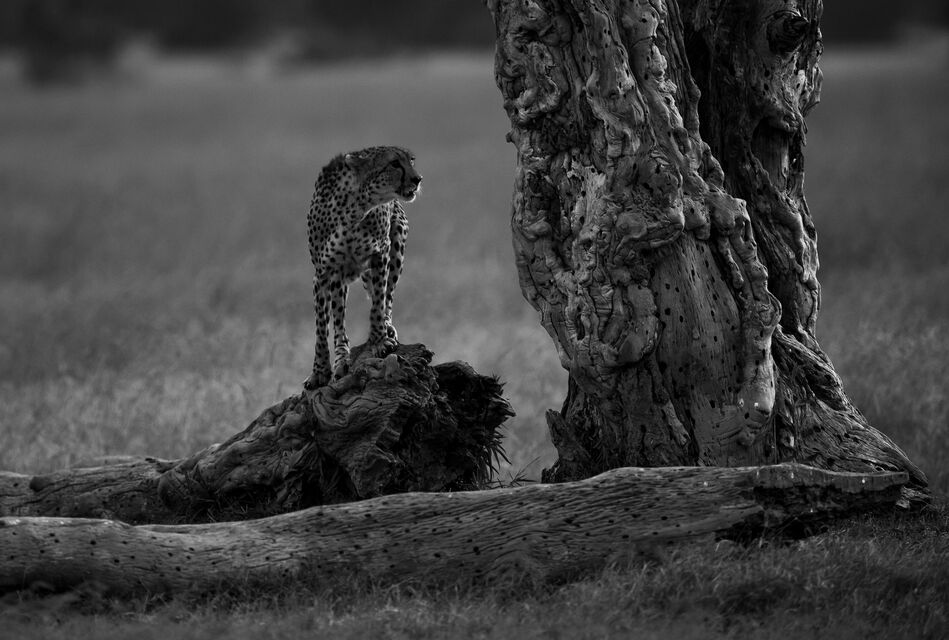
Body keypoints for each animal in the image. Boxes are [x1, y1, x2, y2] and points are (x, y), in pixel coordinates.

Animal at [303, 146, 422, 390]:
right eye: (394, 163)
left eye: (412, 160)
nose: (417, 179)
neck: (354, 209)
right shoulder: (325, 273)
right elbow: (324, 325)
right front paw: (321, 370)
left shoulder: (381, 254)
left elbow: (378, 302)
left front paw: (378, 341)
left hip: (396, 248)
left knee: (388, 297)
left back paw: (387, 328)